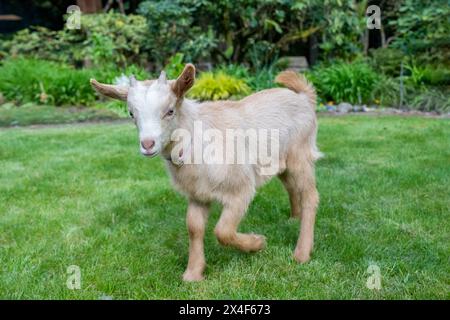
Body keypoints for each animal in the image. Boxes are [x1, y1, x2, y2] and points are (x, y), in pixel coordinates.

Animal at [90, 64, 320, 280]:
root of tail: (303, 97)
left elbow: (223, 231)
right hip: (282, 162)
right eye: (131, 113)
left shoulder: (240, 189)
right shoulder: (197, 194)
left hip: (300, 154)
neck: (194, 140)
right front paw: (193, 274)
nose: (148, 144)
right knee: (291, 187)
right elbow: (194, 228)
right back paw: (294, 219)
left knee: (310, 196)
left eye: (170, 111)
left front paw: (258, 243)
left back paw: (301, 253)